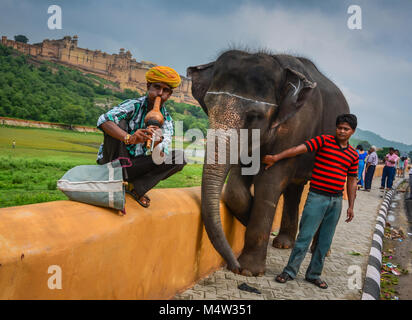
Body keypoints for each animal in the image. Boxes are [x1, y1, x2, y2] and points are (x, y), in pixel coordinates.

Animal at [188, 49, 350, 276]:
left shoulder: (296, 126)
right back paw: (284, 243)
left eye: (254, 116)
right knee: (294, 189)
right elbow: (235, 188)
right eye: (209, 107)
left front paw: (249, 271)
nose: (234, 266)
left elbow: (270, 182)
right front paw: (248, 215)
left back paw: (320, 251)